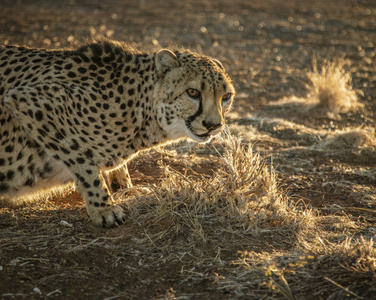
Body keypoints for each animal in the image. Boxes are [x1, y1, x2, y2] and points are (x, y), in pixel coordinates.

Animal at [0, 39, 235, 227]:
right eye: (192, 92)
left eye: (226, 97)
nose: (213, 124)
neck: (139, 107)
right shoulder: (28, 102)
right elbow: (84, 163)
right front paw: (103, 208)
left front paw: (125, 188)